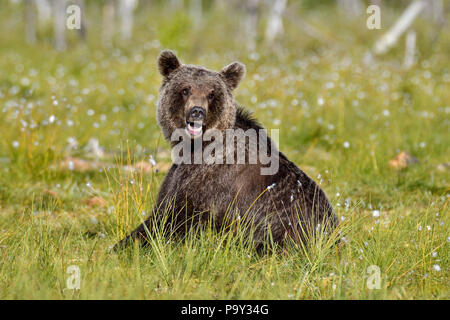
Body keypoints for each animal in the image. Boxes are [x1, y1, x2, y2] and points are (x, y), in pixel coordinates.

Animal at [116, 50, 338, 250]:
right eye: (185, 89)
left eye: (211, 93)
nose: (197, 111)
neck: (194, 147)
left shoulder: (209, 185)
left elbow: (169, 218)